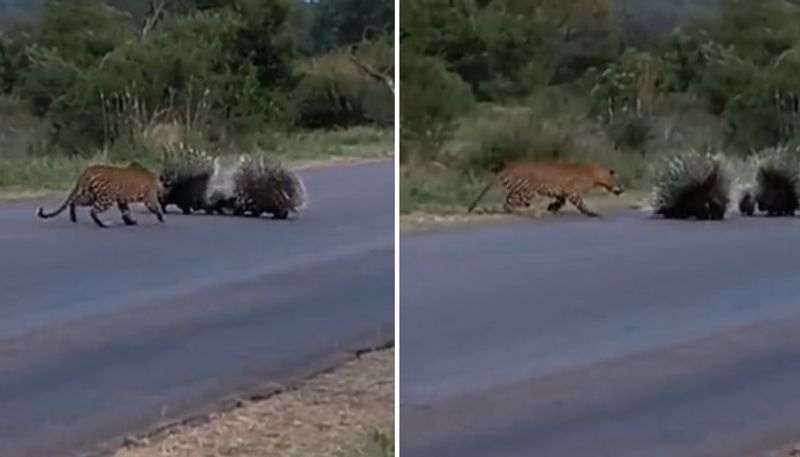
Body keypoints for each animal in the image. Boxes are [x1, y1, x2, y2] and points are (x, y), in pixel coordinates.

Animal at [36, 163, 165, 230]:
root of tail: (88, 170)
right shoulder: (149, 198)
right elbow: (155, 208)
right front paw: (161, 218)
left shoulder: (122, 200)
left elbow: (126, 211)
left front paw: (130, 222)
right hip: (105, 199)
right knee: (92, 211)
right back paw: (102, 225)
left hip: (88, 196)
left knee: (74, 201)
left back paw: (73, 218)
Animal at [468, 160, 624, 217]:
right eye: (616, 180)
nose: (621, 190)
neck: (594, 175)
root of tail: (506, 168)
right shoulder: (572, 192)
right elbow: (581, 204)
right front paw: (591, 213)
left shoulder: (563, 193)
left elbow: (560, 202)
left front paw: (552, 209)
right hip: (528, 191)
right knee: (509, 203)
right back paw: (528, 212)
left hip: (519, 191)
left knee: (508, 201)